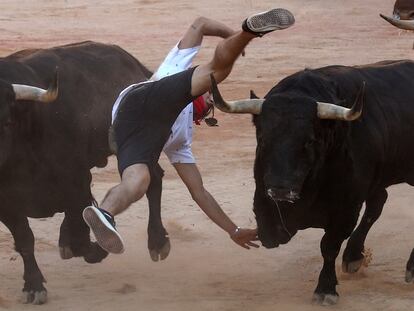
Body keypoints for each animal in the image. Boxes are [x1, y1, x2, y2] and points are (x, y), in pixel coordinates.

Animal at [0, 41, 169, 304]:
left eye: (6, 121)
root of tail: (134, 65)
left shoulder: (77, 184)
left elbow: (82, 238)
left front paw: (98, 247)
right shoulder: (7, 203)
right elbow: (25, 240)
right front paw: (33, 285)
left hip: (138, 145)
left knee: (153, 181)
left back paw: (158, 242)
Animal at [212, 60, 414, 304]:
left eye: (309, 141)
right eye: (262, 138)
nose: (281, 191)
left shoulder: (346, 209)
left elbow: (329, 246)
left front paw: (325, 288)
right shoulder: (263, 198)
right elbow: (269, 229)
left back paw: (410, 267)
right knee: (378, 202)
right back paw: (353, 257)